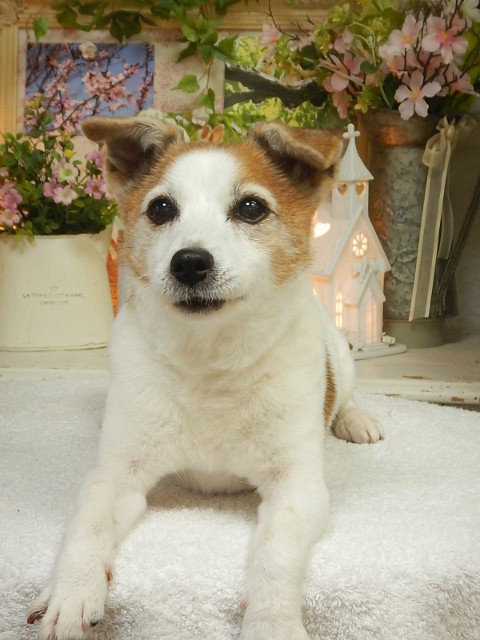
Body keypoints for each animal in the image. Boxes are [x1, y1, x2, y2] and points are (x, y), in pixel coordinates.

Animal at [27, 115, 384, 640]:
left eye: (251, 207)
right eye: (161, 208)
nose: (190, 262)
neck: (209, 360)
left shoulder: (297, 485)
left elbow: (275, 550)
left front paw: (272, 621)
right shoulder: (115, 474)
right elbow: (85, 526)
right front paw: (71, 591)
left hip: (340, 352)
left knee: (348, 396)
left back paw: (357, 421)